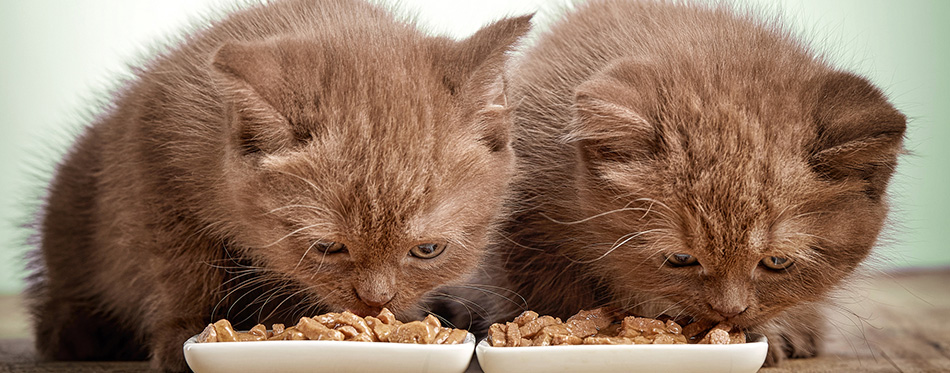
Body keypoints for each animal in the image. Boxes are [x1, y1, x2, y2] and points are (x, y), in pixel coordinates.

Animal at [27, 0, 536, 368]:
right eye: (328, 247)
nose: (375, 301)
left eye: (428, 250)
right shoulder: (154, 162)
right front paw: (183, 335)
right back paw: (76, 330)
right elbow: (182, 268)